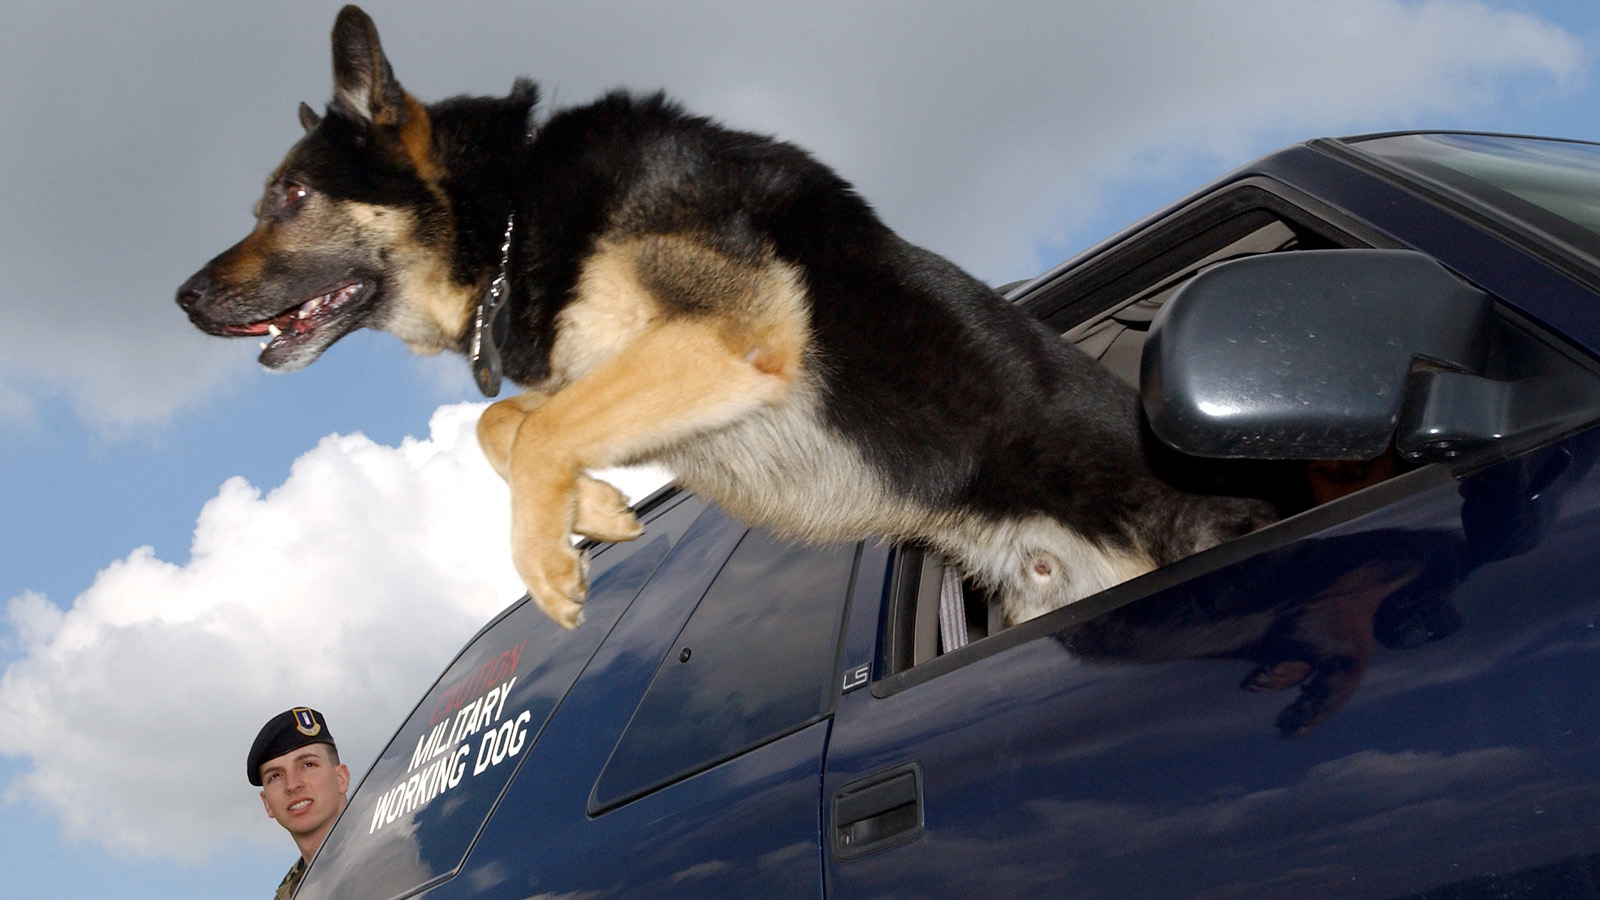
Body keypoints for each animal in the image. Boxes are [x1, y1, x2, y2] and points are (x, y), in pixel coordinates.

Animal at [175, 7, 1273, 627]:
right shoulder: (638, 370)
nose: (183, 301)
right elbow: (508, 424)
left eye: (286, 199)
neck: (513, 207)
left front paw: (547, 559)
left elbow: (533, 430)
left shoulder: (723, 344)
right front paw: (593, 508)